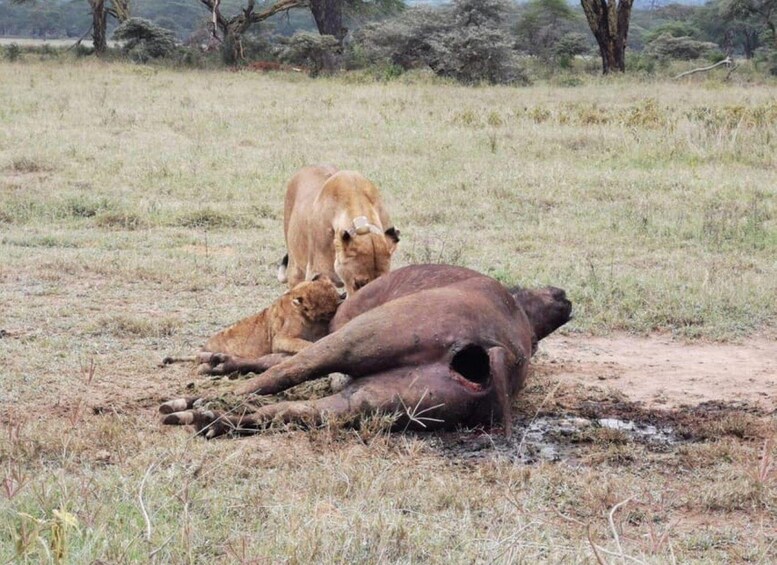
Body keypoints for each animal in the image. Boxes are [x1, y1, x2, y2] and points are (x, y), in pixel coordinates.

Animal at [161, 264, 568, 436]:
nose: (562, 295)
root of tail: (492, 351)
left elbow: (279, 360)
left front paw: (214, 363)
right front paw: (216, 361)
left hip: (359, 337)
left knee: (284, 376)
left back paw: (194, 405)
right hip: (380, 401)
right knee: (292, 411)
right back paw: (207, 418)